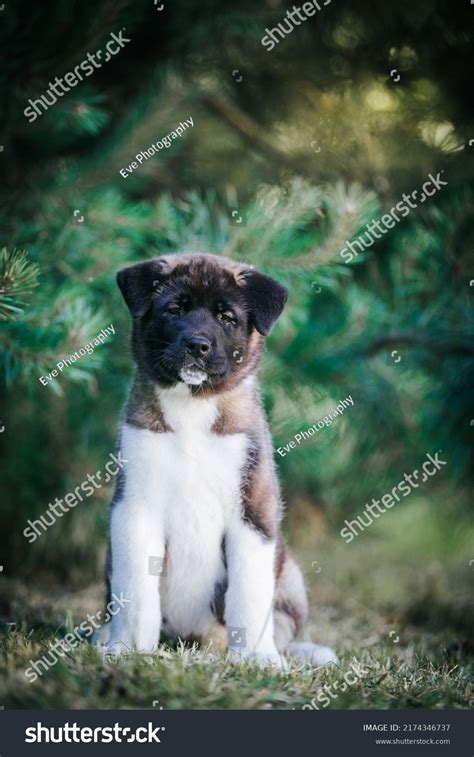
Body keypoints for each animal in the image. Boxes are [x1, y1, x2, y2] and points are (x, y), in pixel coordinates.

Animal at [103, 252, 336, 668]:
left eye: (227, 317)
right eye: (174, 310)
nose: (197, 345)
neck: (193, 408)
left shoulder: (253, 513)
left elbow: (249, 596)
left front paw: (258, 658)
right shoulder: (134, 509)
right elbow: (136, 592)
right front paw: (128, 648)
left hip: (290, 573)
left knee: (281, 624)